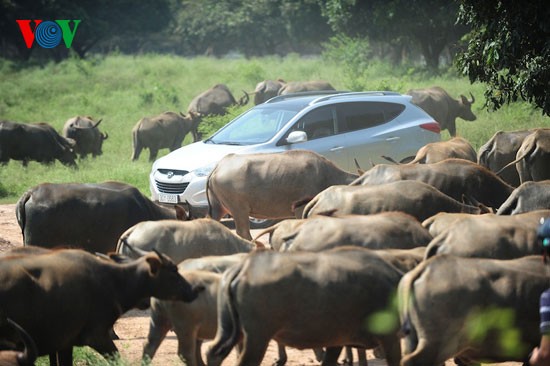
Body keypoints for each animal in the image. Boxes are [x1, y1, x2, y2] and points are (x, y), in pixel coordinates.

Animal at [0, 246, 203, 366]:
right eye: (173, 272)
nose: (192, 290)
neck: (115, 281)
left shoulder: (65, 342)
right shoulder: (97, 336)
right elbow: (117, 358)